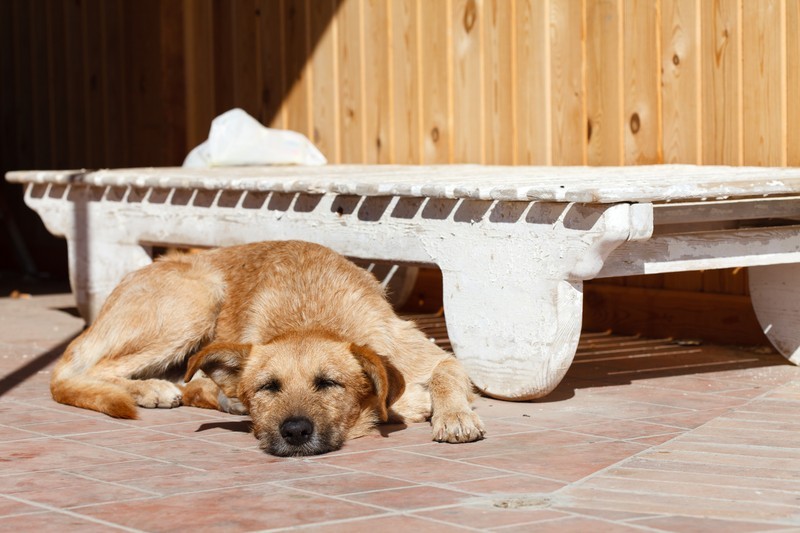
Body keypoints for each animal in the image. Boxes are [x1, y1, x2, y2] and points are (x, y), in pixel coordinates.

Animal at [53, 241, 488, 454]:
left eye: (329, 384)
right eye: (268, 387)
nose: (294, 431)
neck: (310, 317)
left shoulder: (434, 356)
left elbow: (446, 377)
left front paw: (454, 417)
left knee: (189, 382)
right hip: (197, 299)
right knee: (93, 372)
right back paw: (152, 389)